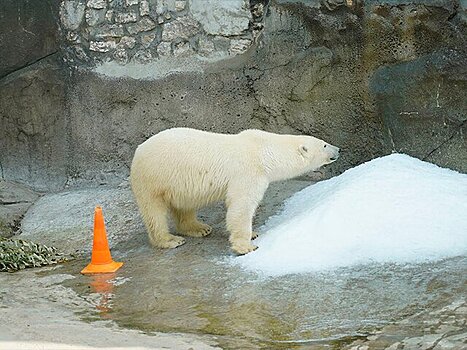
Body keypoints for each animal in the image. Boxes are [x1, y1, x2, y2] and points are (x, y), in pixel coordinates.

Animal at [130, 127, 338, 253]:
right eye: (324, 144)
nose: (338, 149)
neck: (264, 150)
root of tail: (138, 150)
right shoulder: (248, 172)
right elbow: (241, 206)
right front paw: (247, 245)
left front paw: (253, 233)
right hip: (154, 178)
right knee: (154, 212)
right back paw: (170, 240)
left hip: (179, 184)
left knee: (185, 206)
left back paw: (199, 228)